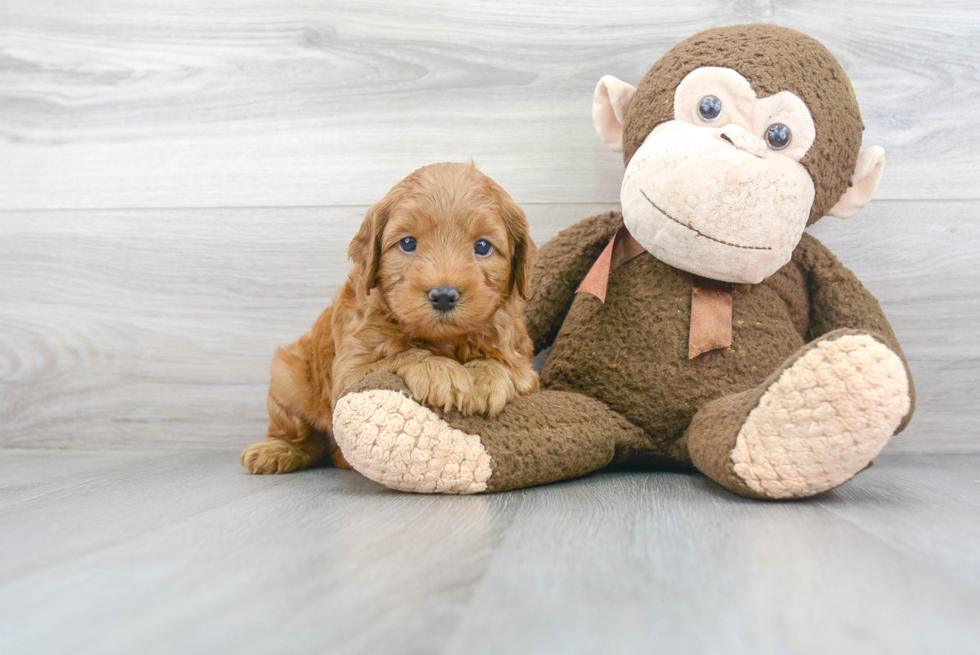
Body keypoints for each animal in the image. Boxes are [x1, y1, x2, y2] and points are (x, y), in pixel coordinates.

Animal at [241, 161, 540, 474]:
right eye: (408, 243)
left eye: (482, 246)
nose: (444, 295)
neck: (442, 339)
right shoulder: (349, 373)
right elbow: (401, 355)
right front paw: (440, 370)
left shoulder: (525, 368)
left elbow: (502, 364)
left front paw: (485, 378)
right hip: (287, 378)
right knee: (305, 438)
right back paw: (278, 450)